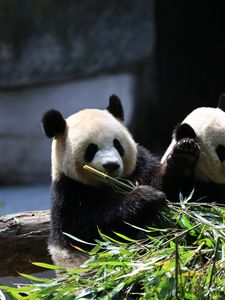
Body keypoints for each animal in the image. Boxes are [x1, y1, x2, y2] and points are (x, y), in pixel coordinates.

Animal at [42, 95, 166, 268]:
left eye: (117, 144)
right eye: (91, 149)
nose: (111, 165)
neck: (110, 184)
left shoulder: (139, 167)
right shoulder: (68, 193)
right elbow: (92, 228)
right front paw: (145, 197)